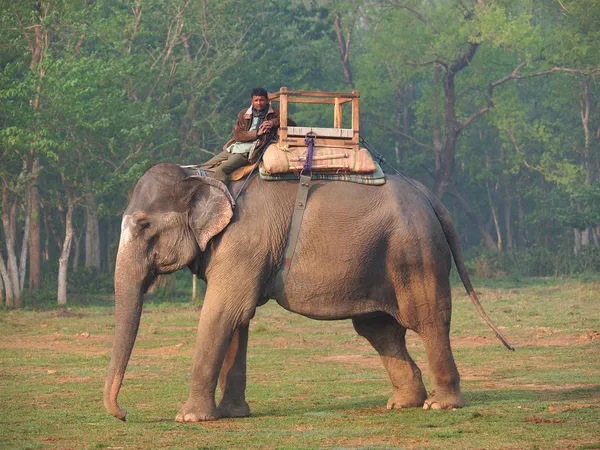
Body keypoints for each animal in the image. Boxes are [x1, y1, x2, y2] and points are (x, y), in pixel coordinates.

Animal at [104, 163, 510, 422]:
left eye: (144, 225)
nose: (124, 415)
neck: (207, 175)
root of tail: (428, 195)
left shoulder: (243, 243)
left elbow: (221, 313)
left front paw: (189, 418)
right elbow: (237, 319)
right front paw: (232, 414)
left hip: (416, 253)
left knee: (427, 320)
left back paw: (440, 406)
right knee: (379, 330)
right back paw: (403, 403)